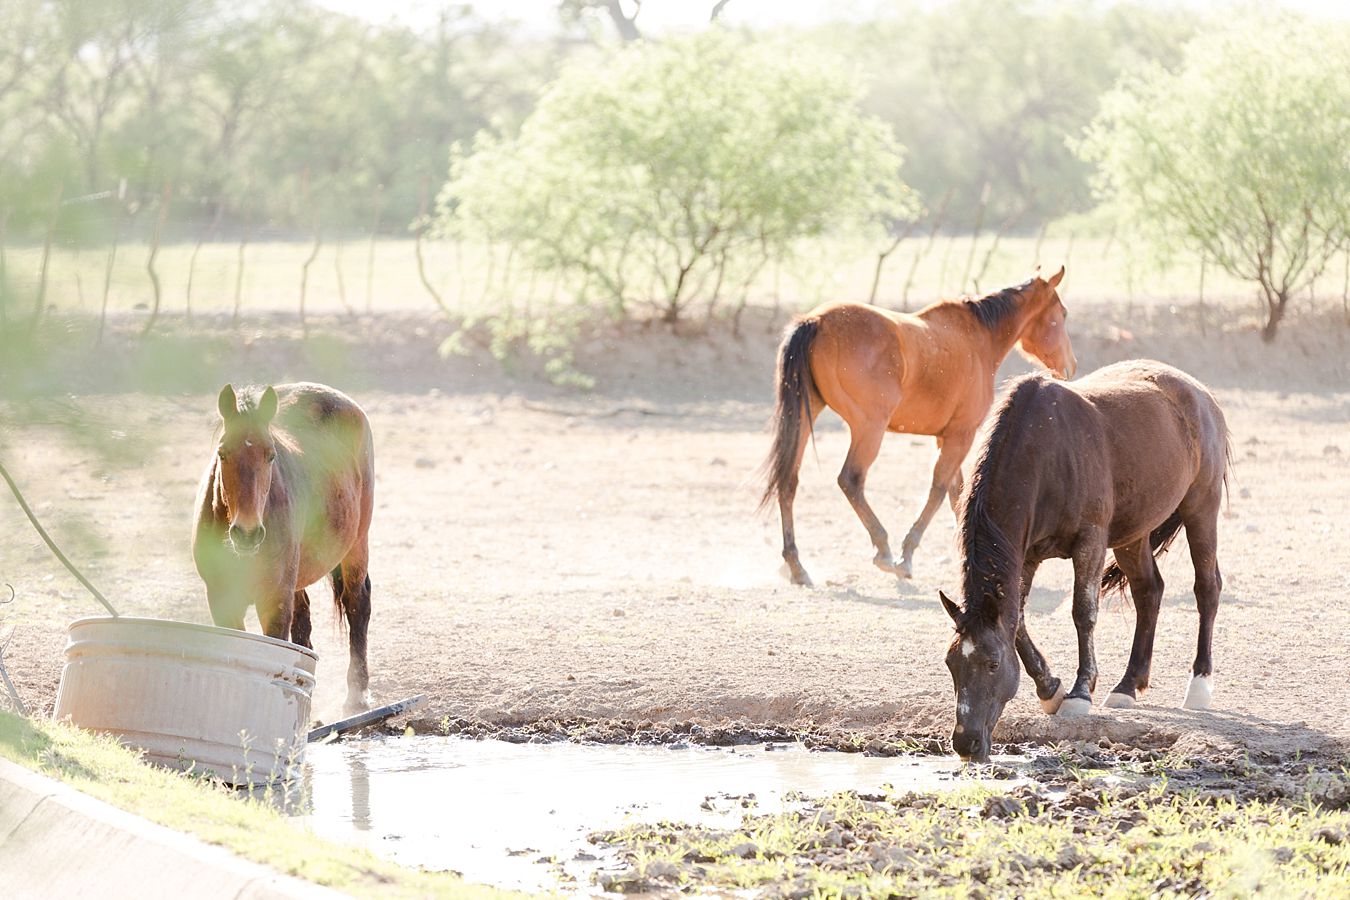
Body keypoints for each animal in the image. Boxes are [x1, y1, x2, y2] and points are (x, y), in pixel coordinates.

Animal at [193, 383, 378, 717]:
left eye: (270, 455)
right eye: (223, 453)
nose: (247, 533)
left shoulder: (274, 599)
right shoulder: (222, 599)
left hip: (357, 546)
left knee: (357, 605)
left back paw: (356, 697)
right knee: (304, 621)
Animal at [761, 267, 1074, 588]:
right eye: (1062, 314)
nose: (1070, 368)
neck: (979, 338)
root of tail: (816, 321)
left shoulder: (946, 438)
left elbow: (956, 493)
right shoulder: (961, 435)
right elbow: (938, 490)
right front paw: (906, 556)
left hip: (804, 418)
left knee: (788, 481)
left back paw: (797, 566)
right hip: (869, 428)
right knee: (851, 480)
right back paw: (884, 551)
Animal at [945, 358, 1231, 761]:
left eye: (993, 664)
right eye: (951, 664)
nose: (965, 742)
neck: (1044, 450)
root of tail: (1199, 392)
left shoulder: (1090, 542)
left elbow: (1083, 612)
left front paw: (1080, 693)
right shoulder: (1026, 556)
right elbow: (1018, 622)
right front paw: (1050, 689)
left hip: (1201, 507)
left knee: (1207, 588)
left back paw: (1200, 686)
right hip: (1133, 535)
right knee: (1149, 591)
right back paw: (1128, 685)